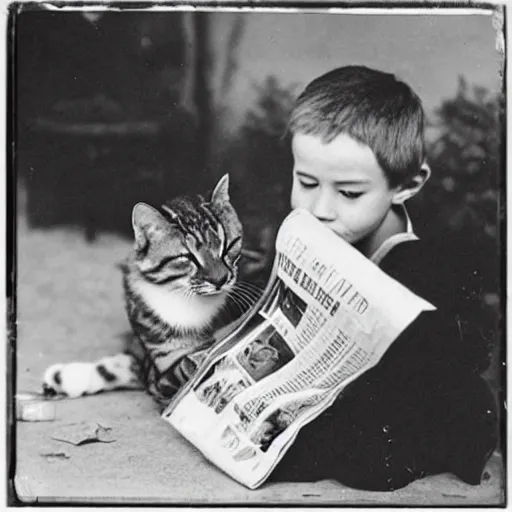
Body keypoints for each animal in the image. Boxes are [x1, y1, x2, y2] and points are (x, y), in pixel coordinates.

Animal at [42, 175, 254, 408]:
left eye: (228, 247)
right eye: (187, 257)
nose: (220, 279)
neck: (179, 296)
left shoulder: (165, 378)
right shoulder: (156, 364)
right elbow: (124, 365)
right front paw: (65, 377)